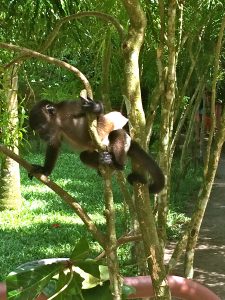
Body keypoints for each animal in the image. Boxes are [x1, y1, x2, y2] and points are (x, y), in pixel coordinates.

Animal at [29, 97, 164, 193]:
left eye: (41, 129)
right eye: (37, 131)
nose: (42, 137)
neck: (58, 121)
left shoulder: (69, 107)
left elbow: (99, 114)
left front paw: (95, 107)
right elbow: (54, 144)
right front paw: (44, 170)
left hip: (116, 142)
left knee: (117, 133)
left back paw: (117, 165)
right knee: (84, 156)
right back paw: (104, 163)